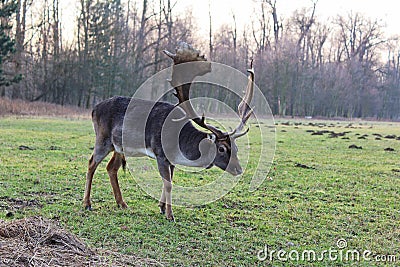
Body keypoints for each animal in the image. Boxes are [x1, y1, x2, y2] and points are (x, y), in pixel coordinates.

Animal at [83, 42, 255, 222]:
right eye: (221, 148)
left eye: (236, 148)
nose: (238, 169)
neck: (178, 143)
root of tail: (94, 109)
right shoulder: (161, 154)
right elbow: (169, 184)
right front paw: (170, 214)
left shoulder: (171, 160)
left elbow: (169, 181)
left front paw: (162, 206)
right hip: (102, 139)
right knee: (91, 163)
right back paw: (87, 203)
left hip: (119, 147)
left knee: (111, 168)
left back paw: (121, 203)